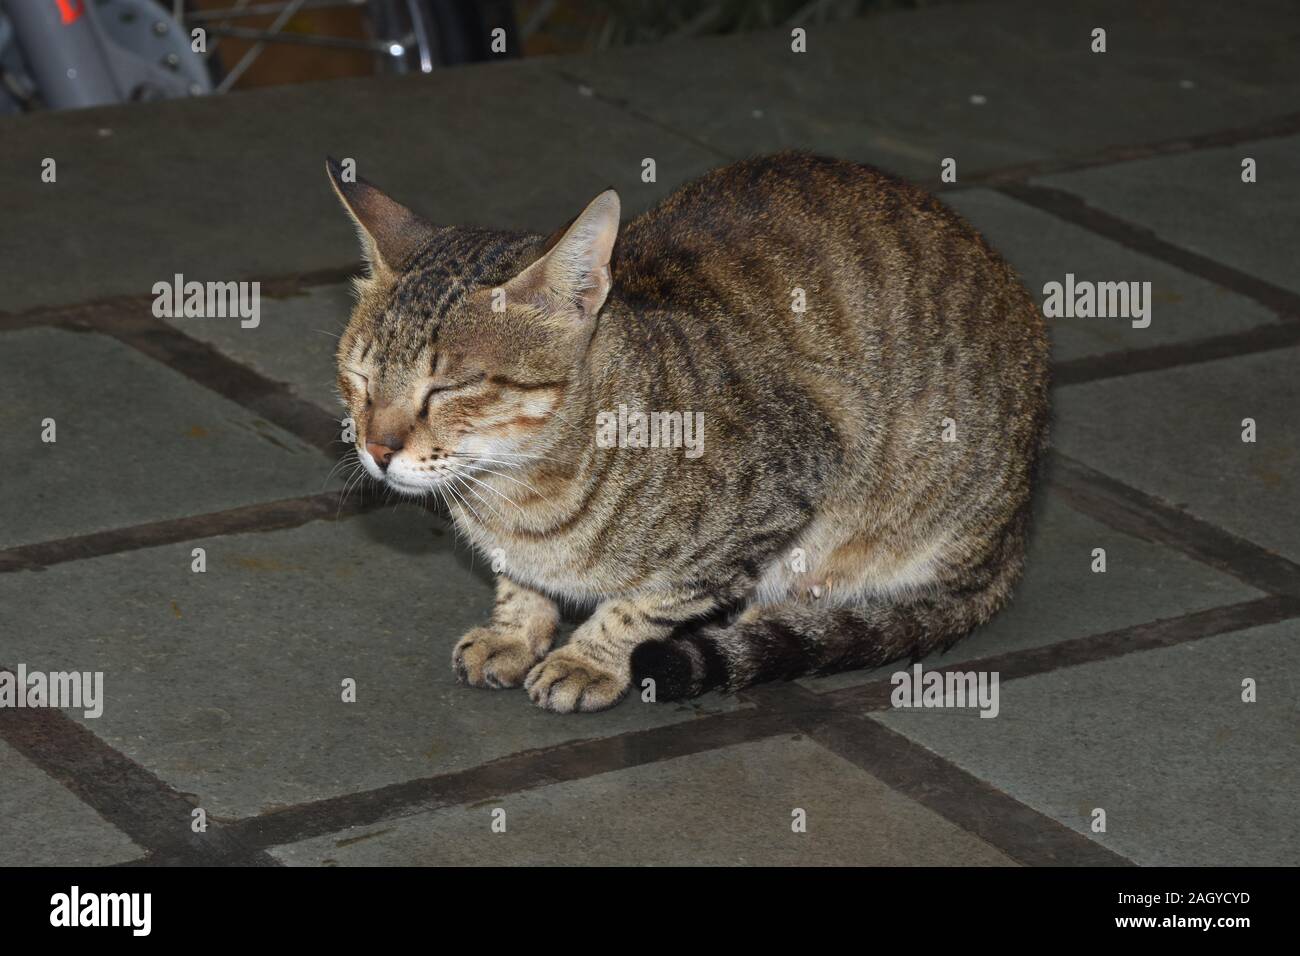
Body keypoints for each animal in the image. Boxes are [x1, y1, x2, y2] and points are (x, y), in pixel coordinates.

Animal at [330, 153, 1050, 712]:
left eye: (448, 388)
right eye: (359, 377)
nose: (376, 449)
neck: (519, 494)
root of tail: (1011, 542)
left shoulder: (787, 483)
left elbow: (650, 600)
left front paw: (589, 658)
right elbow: (520, 581)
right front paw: (514, 629)